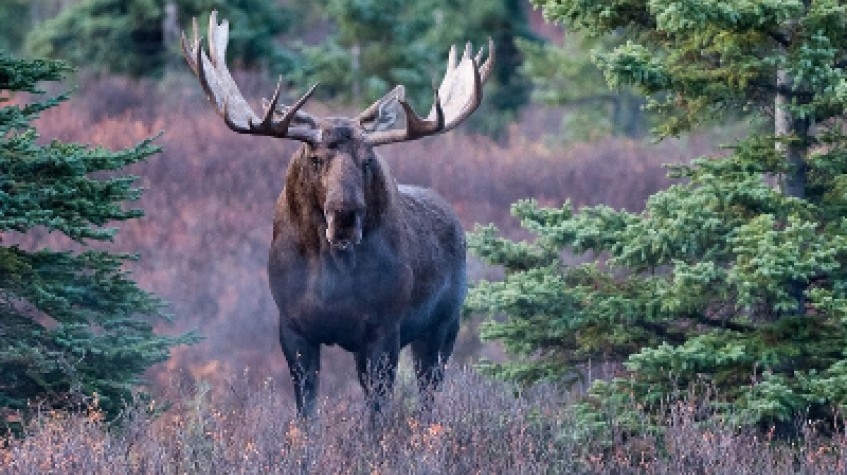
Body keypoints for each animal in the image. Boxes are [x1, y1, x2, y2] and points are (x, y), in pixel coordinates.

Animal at [182, 11, 493, 418]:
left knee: (428, 394)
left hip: (444, 325)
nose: (345, 216)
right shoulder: (293, 328)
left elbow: (377, 412)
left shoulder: (384, 328)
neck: (332, 276)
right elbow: (307, 411)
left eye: (368, 161)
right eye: (316, 159)